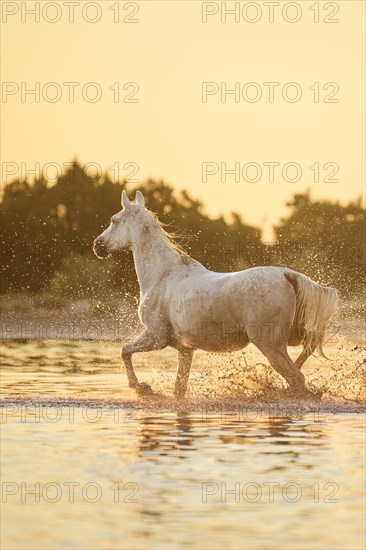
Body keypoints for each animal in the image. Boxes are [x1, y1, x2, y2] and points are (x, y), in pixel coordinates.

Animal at [93, 192, 338, 398]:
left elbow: (125, 351)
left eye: (114, 220)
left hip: (270, 345)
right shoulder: (185, 349)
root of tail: (287, 274)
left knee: (296, 378)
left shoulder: (156, 336)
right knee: (306, 352)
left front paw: (141, 387)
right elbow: (179, 388)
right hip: (292, 337)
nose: (98, 245)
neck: (162, 275)